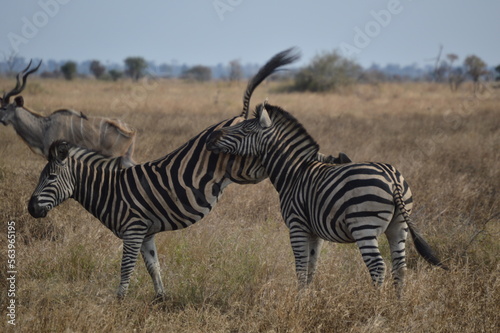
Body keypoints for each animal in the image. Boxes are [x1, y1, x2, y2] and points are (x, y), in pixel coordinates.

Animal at [27, 48, 352, 300]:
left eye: (50, 178)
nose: (30, 209)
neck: (110, 190)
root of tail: (238, 116)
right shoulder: (146, 233)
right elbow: (153, 266)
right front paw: (161, 298)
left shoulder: (132, 229)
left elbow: (126, 267)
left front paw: (119, 301)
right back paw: (336, 160)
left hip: (247, 167)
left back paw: (333, 160)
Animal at [205, 100, 448, 290]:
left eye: (245, 130)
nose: (211, 136)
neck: (294, 172)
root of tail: (392, 178)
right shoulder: (315, 231)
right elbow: (311, 268)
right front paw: (308, 298)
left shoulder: (297, 225)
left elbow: (300, 268)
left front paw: (298, 303)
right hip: (399, 225)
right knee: (400, 267)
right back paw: (396, 305)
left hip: (364, 227)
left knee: (378, 267)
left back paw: (376, 306)